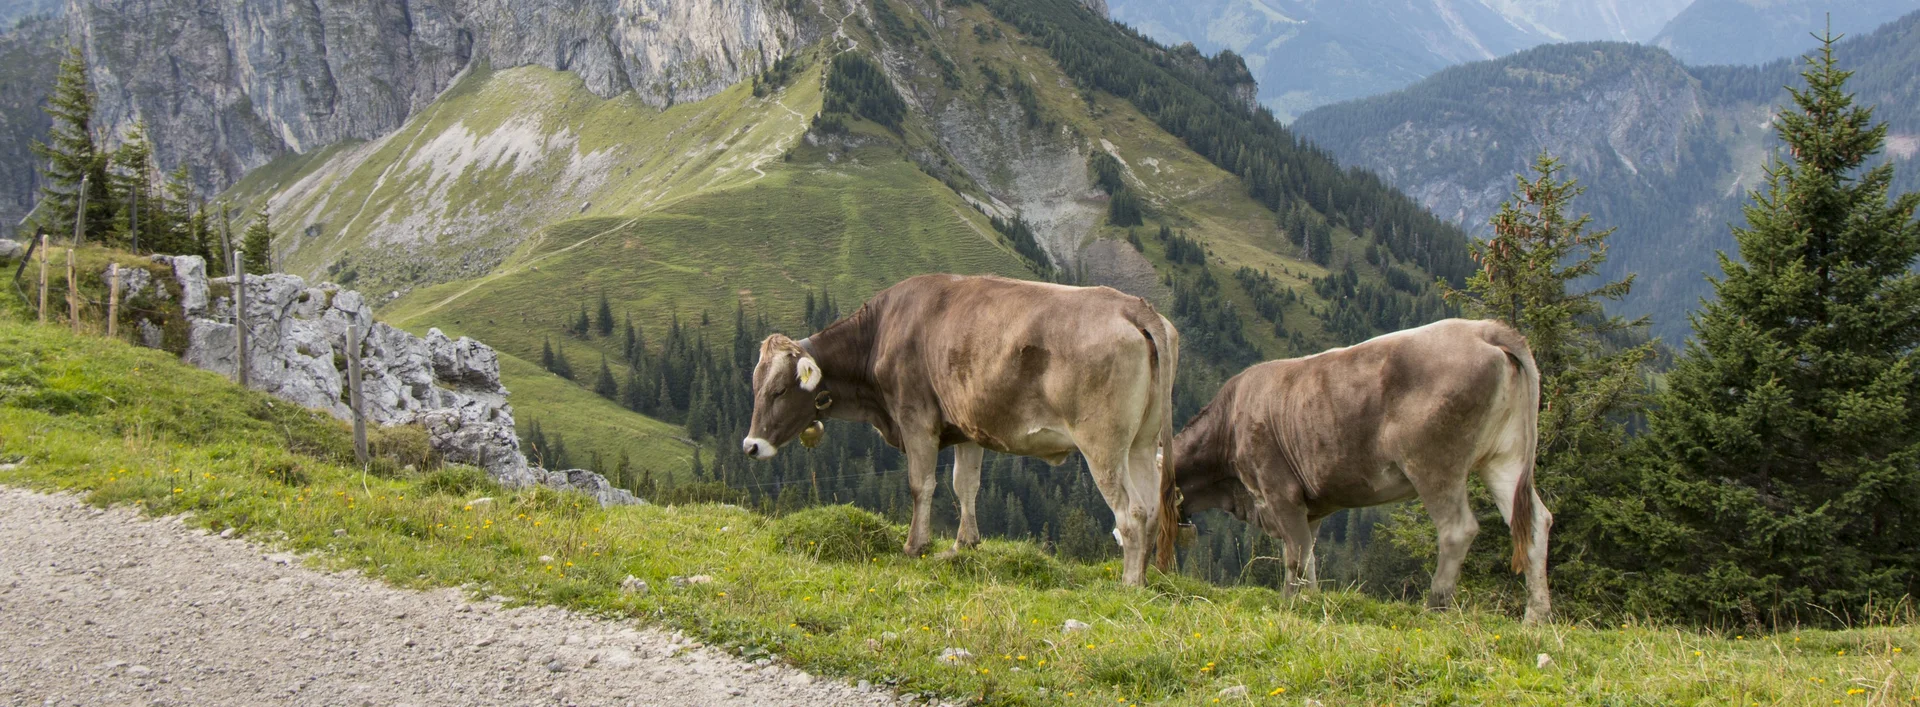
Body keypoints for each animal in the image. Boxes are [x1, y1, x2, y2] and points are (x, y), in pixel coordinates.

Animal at [742, 274, 1181, 585]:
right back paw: (1148, 579)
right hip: (1143, 443)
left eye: (779, 390)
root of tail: (1134, 307)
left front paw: (915, 545)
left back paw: (1128, 584)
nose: (751, 446)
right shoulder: (968, 429)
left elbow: (921, 485)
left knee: (1131, 512)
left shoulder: (916, 419)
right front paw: (963, 545)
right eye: (754, 386)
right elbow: (964, 485)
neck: (880, 334)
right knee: (1152, 508)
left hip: (1103, 445)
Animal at [1171, 318, 1551, 623]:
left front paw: (1297, 603)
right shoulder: (1308, 507)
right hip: (1505, 458)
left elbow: (1297, 557)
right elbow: (1304, 556)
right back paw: (1536, 617)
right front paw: (1302, 600)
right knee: (1536, 522)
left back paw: (1434, 607)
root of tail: (1483, 329)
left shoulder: (1279, 491)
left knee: (1457, 529)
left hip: (1434, 463)